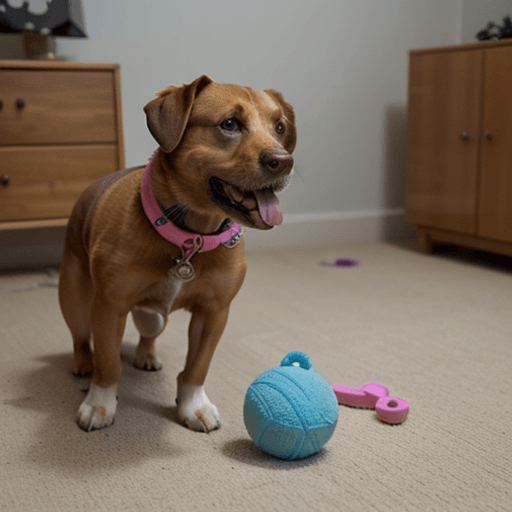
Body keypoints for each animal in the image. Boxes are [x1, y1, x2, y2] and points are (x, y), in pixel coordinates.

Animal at [57, 75, 296, 432]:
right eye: (229, 124)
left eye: (279, 127)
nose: (284, 161)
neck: (190, 238)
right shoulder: (109, 307)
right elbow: (109, 363)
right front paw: (99, 404)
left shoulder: (214, 313)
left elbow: (197, 367)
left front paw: (192, 405)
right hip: (75, 300)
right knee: (81, 337)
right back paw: (84, 362)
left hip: (154, 317)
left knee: (148, 333)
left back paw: (146, 355)